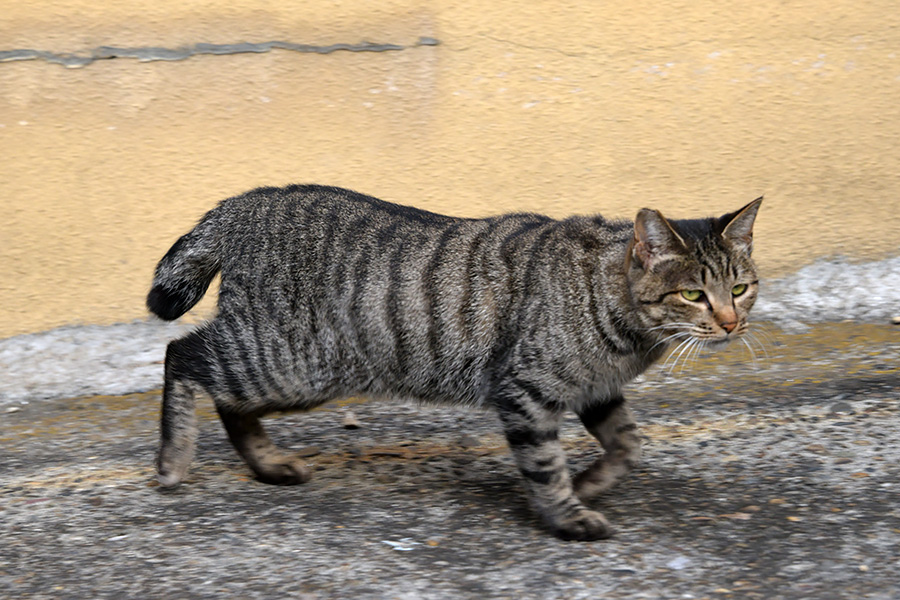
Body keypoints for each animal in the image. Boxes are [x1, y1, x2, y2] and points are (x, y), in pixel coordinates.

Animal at [146, 185, 760, 540]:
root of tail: (242, 203)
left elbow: (628, 444)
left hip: (286, 372)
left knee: (227, 400)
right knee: (183, 355)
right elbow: (545, 464)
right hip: (288, 362)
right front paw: (566, 515)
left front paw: (589, 484)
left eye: (741, 287)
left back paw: (268, 464)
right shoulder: (526, 389)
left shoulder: (594, 388)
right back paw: (174, 460)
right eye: (693, 295)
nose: (732, 323)